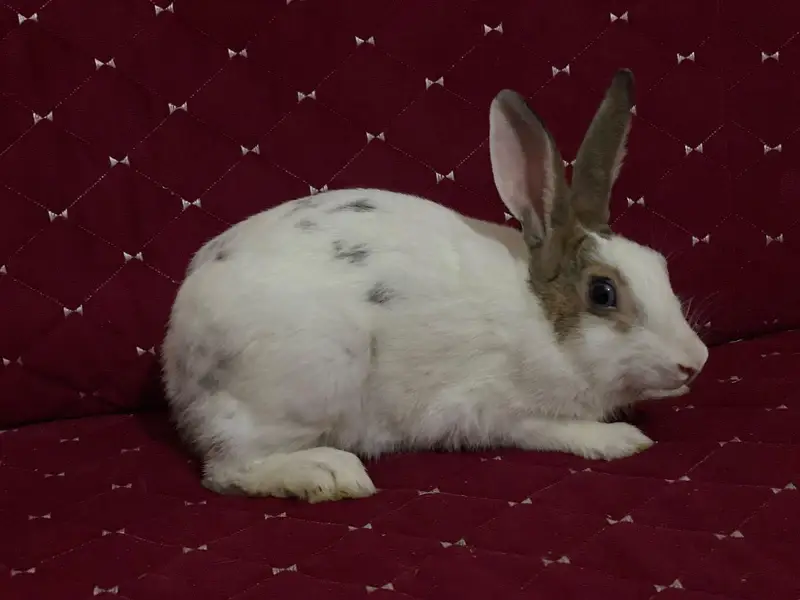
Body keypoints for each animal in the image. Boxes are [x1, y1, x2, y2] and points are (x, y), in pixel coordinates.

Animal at [161, 69, 708, 503]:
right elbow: (555, 429)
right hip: (303, 383)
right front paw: (622, 440)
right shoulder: (498, 409)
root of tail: (177, 358)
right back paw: (328, 473)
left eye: (659, 264)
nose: (695, 361)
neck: (543, 318)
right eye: (603, 293)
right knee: (229, 470)